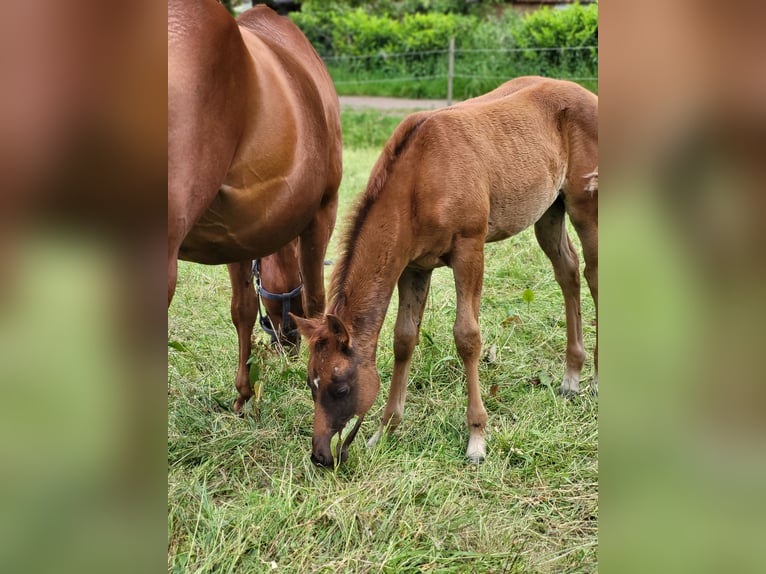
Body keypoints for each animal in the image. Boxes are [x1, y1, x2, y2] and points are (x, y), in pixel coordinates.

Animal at [168, 1, 341, 412]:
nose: (287, 344)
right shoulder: (322, 211)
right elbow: (316, 300)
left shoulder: (235, 233)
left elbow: (243, 308)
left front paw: (243, 395)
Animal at [292, 77, 597, 466]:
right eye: (309, 382)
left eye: (342, 386)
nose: (320, 455)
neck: (419, 177)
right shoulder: (413, 266)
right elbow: (404, 338)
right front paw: (385, 430)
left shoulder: (470, 250)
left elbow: (467, 337)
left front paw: (477, 438)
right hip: (549, 212)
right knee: (568, 271)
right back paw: (571, 376)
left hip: (585, 207)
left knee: (594, 275)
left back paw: (596, 380)